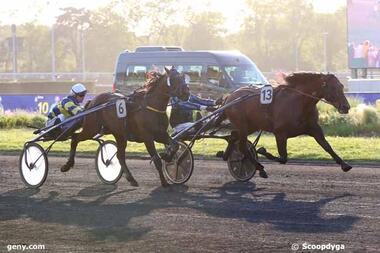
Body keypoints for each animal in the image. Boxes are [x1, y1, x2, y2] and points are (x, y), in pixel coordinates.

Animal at [60, 68, 190, 187]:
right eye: (174, 79)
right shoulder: (147, 137)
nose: (186, 93)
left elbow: (175, 145)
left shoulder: (160, 134)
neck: (151, 107)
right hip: (91, 128)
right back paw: (67, 165)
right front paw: (164, 182)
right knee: (75, 138)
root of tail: (92, 101)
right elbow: (156, 159)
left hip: (119, 135)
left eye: (183, 77)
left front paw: (167, 157)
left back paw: (131, 179)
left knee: (120, 156)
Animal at [221, 72, 352, 177]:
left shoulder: (314, 128)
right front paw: (263, 151)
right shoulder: (280, 133)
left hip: (252, 126)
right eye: (333, 87)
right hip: (243, 125)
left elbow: (326, 146)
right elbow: (283, 158)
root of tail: (229, 97)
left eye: (341, 86)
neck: (299, 103)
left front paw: (344, 165)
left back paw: (226, 155)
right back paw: (259, 167)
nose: (346, 107)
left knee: (234, 136)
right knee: (242, 147)